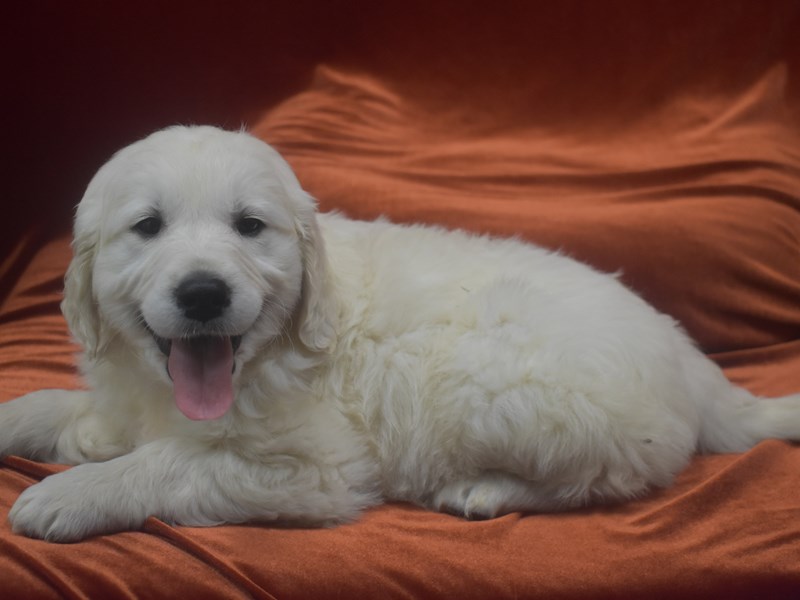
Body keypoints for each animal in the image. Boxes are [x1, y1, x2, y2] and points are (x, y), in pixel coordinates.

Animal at [1, 124, 800, 540]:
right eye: (148, 227)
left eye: (249, 227)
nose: (203, 293)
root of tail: (691, 358)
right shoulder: (126, 397)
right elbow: (59, 406)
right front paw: (25, 421)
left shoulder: (317, 470)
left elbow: (173, 462)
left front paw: (72, 494)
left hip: (489, 381)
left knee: (611, 477)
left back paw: (483, 491)